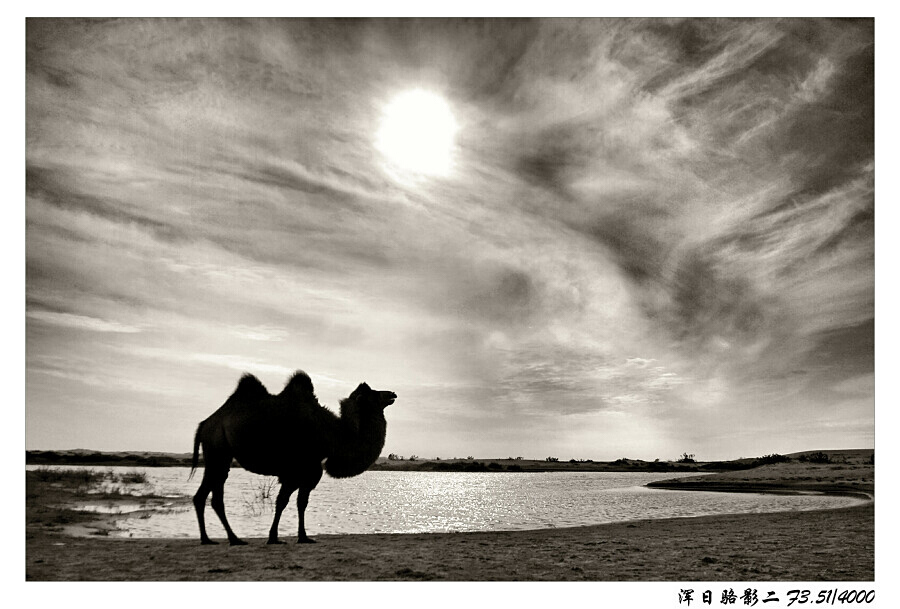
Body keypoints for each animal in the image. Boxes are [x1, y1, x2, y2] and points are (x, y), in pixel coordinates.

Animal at [189, 370, 394, 548]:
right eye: (373, 394)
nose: (392, 393)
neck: (333, 435)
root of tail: (204, 425)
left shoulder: (307, 472)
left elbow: (298, 503)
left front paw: (300, 537)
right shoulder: (299, 471)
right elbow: (285, 502)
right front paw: (277, 538)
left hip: (219, 455)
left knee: (207, 495)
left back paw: (214, 539)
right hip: (218, 450)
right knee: (212, 495)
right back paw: (228, 539)